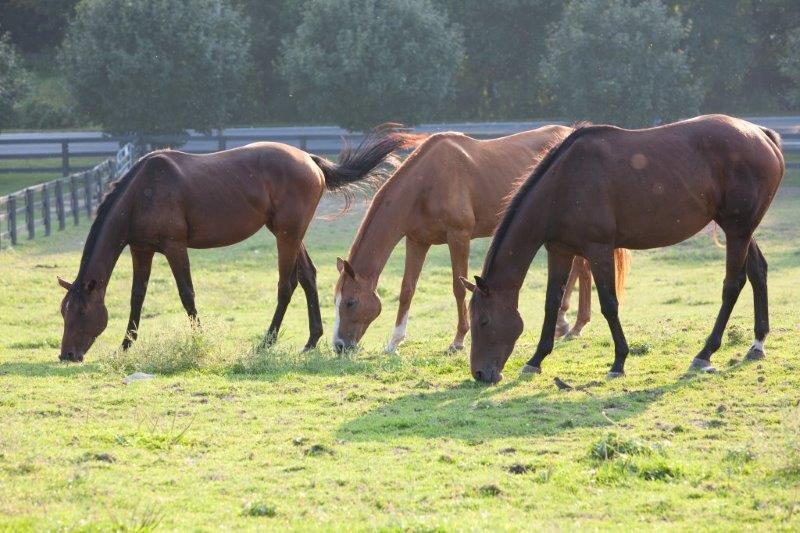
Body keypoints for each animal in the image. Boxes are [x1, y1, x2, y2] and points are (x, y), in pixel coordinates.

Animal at [57, 125, 422, 362]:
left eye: (81, 311)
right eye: (64, 311)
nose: (67, 354)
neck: (143, 191)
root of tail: (310, 159)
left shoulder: (174, 246)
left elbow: (186, 294)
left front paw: (199, 339)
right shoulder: (141, 248)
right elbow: (137, 296)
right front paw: (125, 345)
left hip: (287, 234)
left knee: (287, 284)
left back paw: (268, 341)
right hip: (289, 233)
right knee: (308, 277)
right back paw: (311, 341)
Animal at [332, 125, 632, 354]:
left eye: (350, 302)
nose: (339, 346)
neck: (426, 183)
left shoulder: (459, 237)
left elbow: (458, 287)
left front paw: (458, 340)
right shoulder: (417, 241)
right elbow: (408, 289)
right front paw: (394, 342)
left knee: (580, 269)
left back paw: (572, 324)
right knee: (580, 270)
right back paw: (570, 324)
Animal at [466, 115, 784, 382]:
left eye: (483, 321)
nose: (480, 374)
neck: (564, 183)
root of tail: (762, 134)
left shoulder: (598, 250)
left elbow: (609, 304)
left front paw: (619, 362)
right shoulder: (559, 250)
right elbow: (551, 303)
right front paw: (536, 359)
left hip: (737, 230)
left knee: (733, 285)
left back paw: (705, 353)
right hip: (741, 230)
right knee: (758, 272)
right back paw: (757, 344)